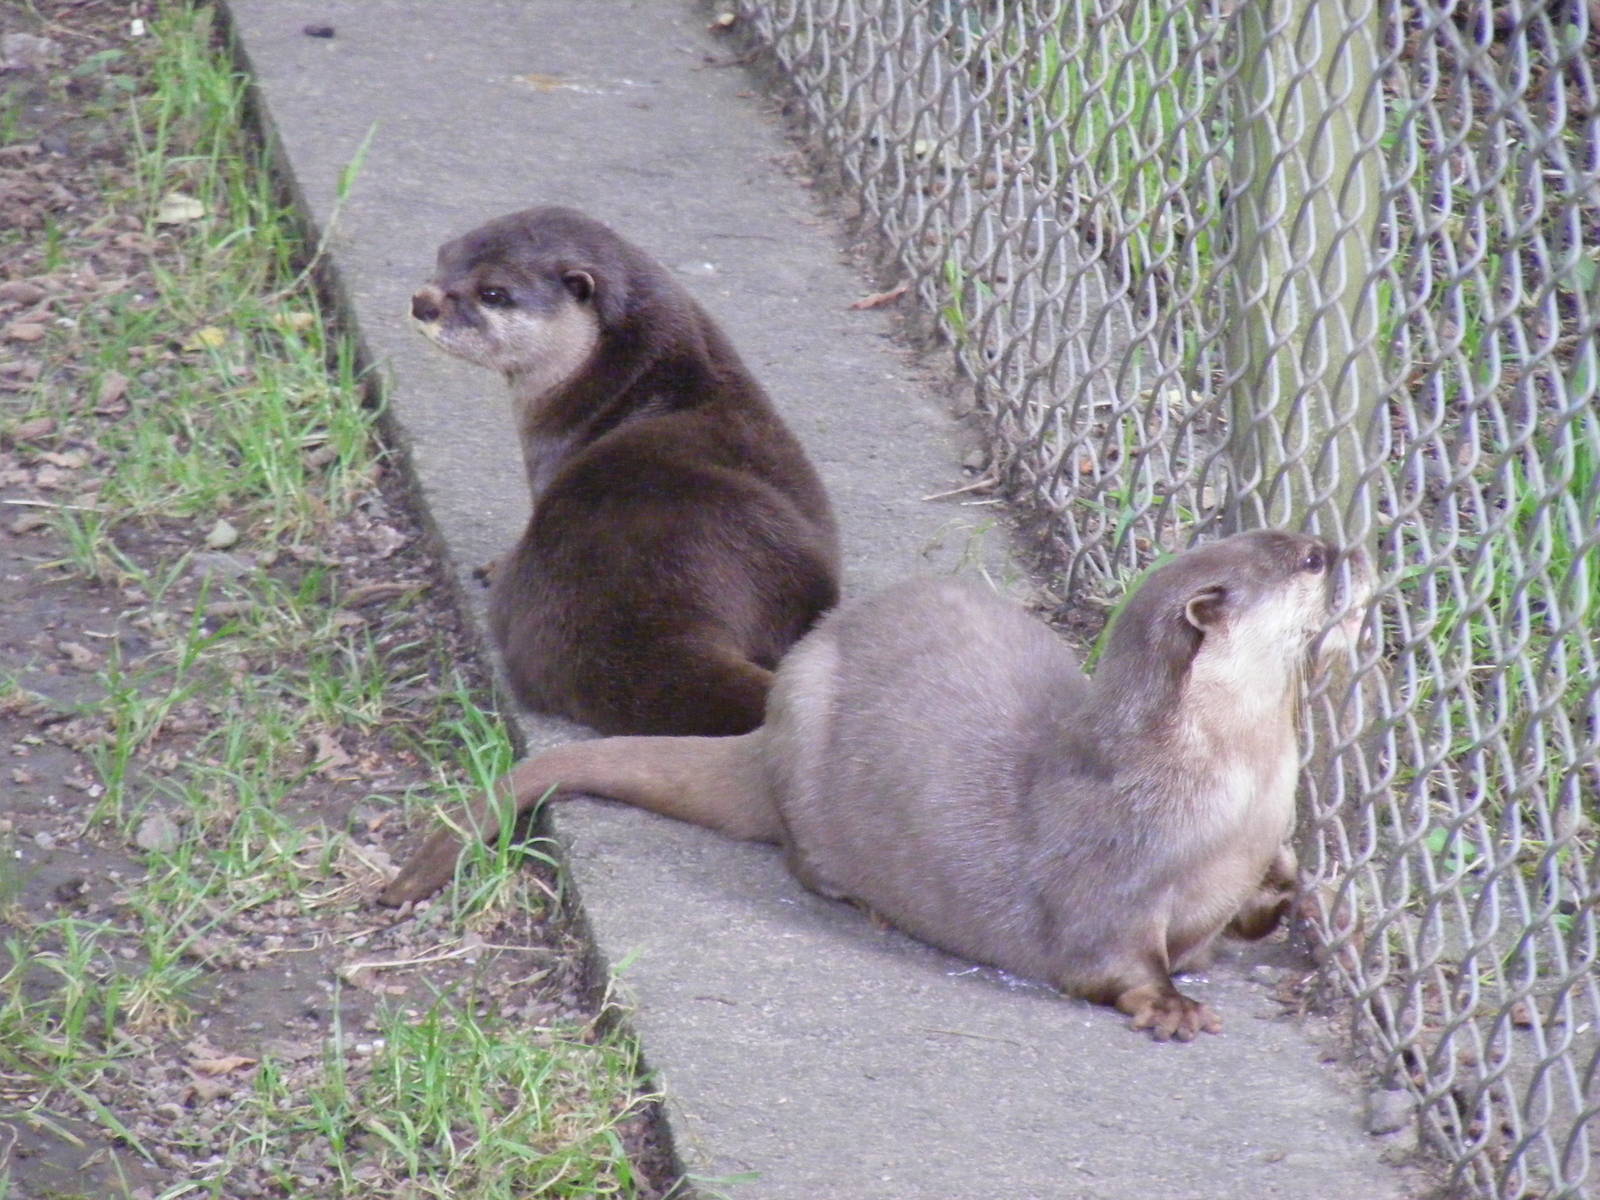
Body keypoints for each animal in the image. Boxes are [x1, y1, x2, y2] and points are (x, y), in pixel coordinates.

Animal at [381, 529, 1371, 1041]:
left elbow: (1244, 913)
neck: (1223, 798)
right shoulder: (1102, 882)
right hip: (811, 745)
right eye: (1308, 562)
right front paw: (1172, 1007)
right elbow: (1109, 960)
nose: (1351, 548)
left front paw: (1296, 895)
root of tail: (769, 723)